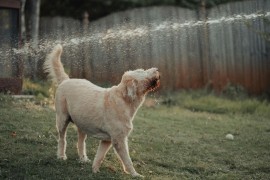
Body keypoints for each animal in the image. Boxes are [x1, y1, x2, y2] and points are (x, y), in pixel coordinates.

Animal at [43, 44, 159, 176]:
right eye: (142, 71)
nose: (157, 69)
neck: (123, 99)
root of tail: (66, 80)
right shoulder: (118, 140)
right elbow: (127, 160)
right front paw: (135, 174)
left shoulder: (106, 140)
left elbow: (99, 156)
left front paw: (94, 170)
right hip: (62, 119)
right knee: (62, 139)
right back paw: (61, 156)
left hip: (82, 124)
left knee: (80, 142)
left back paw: (83, 159)